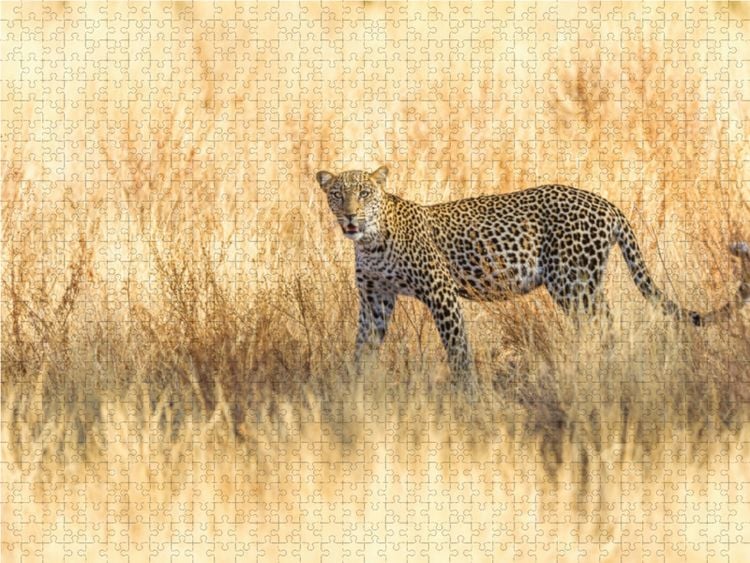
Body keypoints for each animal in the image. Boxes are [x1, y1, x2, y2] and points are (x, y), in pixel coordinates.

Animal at [316, 165, 750, 383]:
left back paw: (603, 369)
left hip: (572, 283)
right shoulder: (375, 299)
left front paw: (467, 396)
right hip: (584, 284)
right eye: (337, 194)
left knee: (604, 326)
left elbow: (458, 350)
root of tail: (607, 204)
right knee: (606, 323)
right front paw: (353, 391)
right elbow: (362, 347)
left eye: (365, 193)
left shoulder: (441, 293)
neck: (370, 242)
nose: (350, 216)